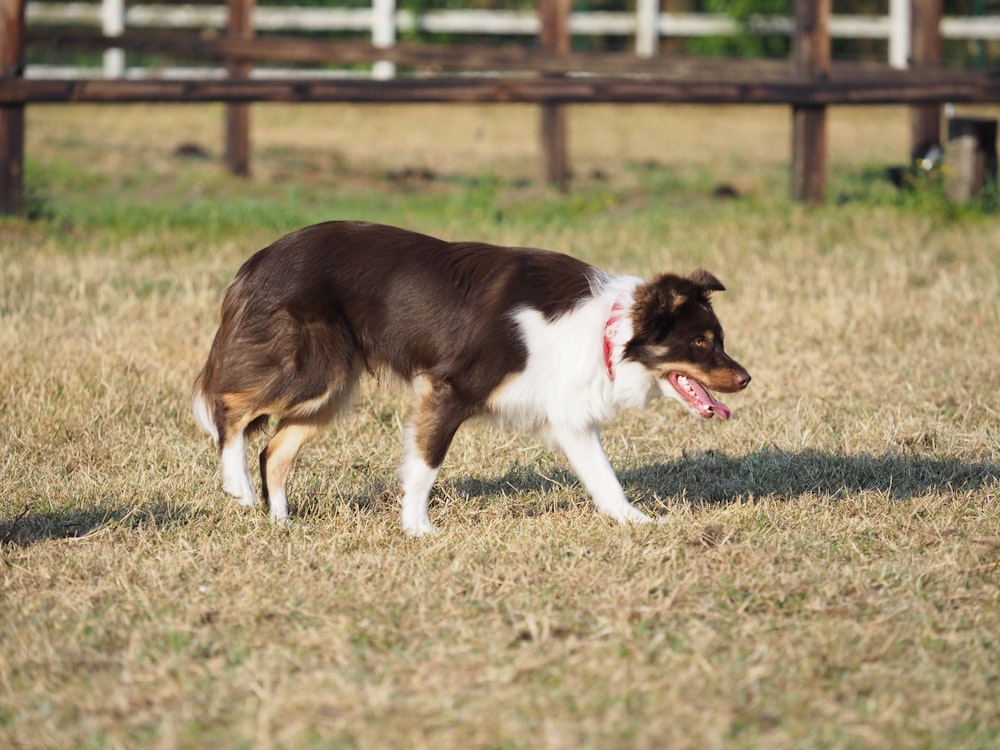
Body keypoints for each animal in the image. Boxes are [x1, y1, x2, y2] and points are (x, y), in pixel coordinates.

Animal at [191, 220, 748, 536]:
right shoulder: (450, 388)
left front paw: (638, 523)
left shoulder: (570, 416)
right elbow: (425, 465)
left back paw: (280, 522)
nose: (745, 379)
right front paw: (417, 529)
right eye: (703, 342)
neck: (606, 330)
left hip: (331, 387)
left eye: (719, 337)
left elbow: (604, 479)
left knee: (274, 448)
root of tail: (258, 259)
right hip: (309, 369)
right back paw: (237, 483)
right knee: (228, 407)